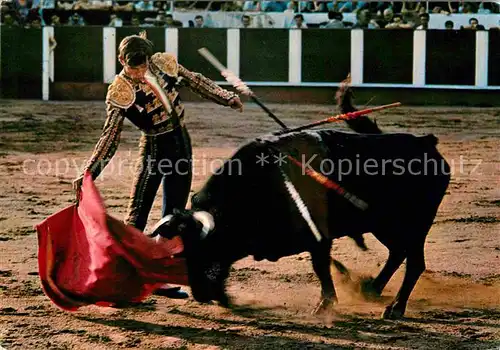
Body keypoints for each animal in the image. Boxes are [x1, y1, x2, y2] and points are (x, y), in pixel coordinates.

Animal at [154, 126, 452, 320]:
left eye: (203, 249)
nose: (200, 294)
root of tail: (426, 143)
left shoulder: (318, 237)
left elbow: (320, 267)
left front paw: (324, 306)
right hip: (384, 225)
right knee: (398, 252)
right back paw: (372, 289)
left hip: (413, 225)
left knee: (414, 262)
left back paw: (395, 308)